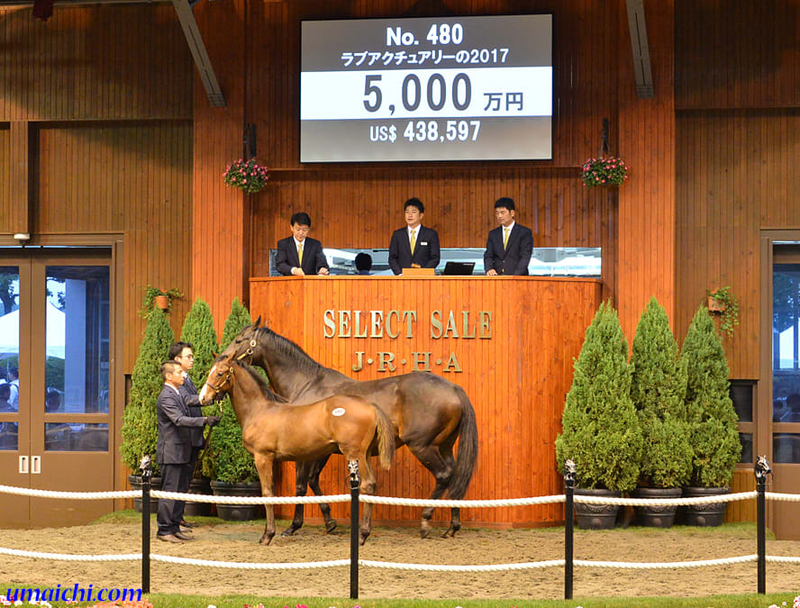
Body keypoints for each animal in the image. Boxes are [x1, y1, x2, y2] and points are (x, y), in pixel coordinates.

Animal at [198, 352, 395, 546]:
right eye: (210, 371)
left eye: (220, 373)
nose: (203, 398)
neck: (259, 410)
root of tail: (371, 406)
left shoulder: (262, 457)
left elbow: (267, 492)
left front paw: (268, 535)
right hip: (364, 455)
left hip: (355, 454)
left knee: (368, 484)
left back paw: (362, 535)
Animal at [220, 317, 479, 539]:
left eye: (239, 339)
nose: (221, 357)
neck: (307, 384)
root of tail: (454, 389)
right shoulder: (322, 451)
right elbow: (313, 481)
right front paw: (329, 522)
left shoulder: (306, 452)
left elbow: (302, 485)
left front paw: (293, 526)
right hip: (443, 446)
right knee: (454, 475)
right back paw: (452, 527)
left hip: (422, 446)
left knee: (444, 475)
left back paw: (426, 521)